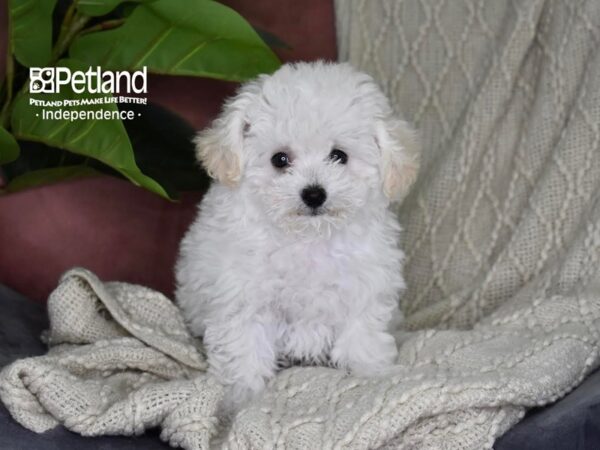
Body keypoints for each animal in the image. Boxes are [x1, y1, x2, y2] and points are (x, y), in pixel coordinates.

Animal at [175, 61, 418, 410]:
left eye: (339, 156)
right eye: (280, 159)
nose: (314, 194)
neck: (307, 238)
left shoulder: (363, 288)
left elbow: (362, 337)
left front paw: (372, 373)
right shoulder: (244, 299)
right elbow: (245, 351)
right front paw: (240, 397)